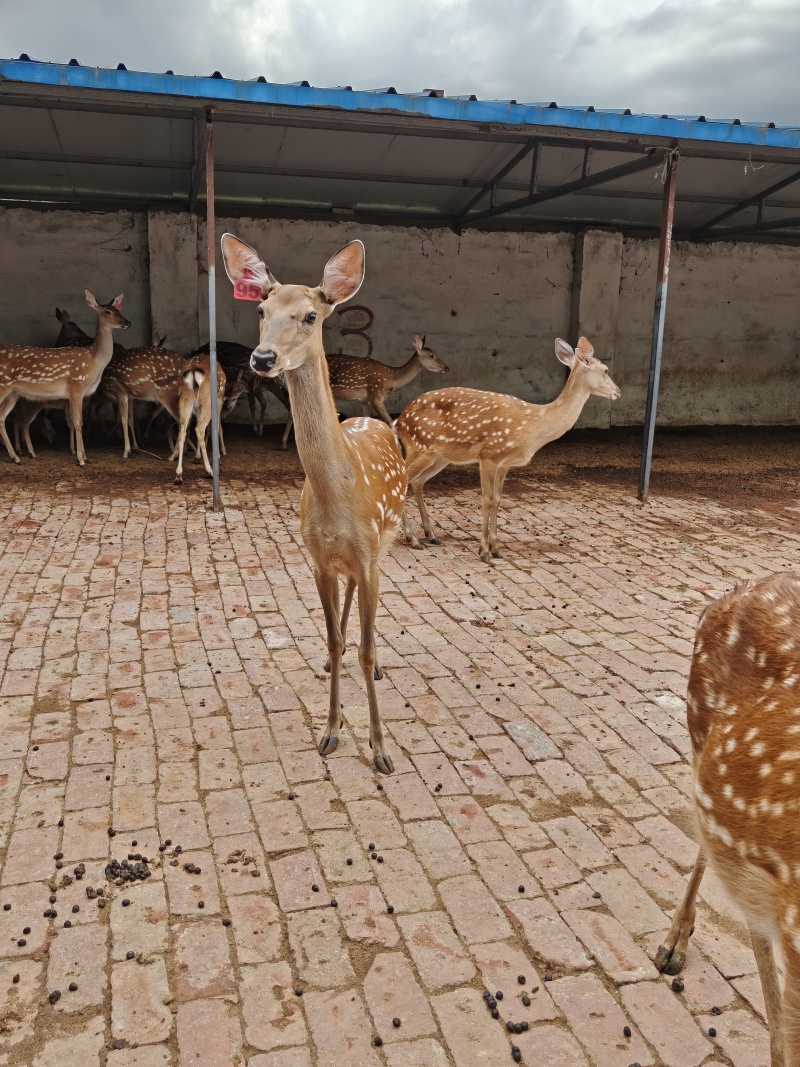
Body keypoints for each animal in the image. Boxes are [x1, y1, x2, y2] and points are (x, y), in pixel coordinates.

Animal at [0, 291, 130, 465]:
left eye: (119, 310)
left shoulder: (83, 394)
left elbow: (79, 422)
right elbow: (78, 422)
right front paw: (81, 460)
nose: (128, 323)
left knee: (2, 417)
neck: (95, 361)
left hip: (13, 392)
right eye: (108, 312)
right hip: (3, 385)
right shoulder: (76, 387)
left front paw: (86, 457)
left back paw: (16, 458)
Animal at [221, 233, 406, 775]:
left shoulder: (368, 554)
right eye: (260, 309)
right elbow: (334, 639)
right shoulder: (318, 559)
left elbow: (365, 650)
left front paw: (381, 749)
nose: (262, 359)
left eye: (309, 315)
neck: (339, 500)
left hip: (388, 540)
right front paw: (330, 729)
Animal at [281, 334, 448, 449]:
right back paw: (285, 443)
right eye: (432, 355)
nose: (446, 367)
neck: (392, 377)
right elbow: (391, 423)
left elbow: (365, 421)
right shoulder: (376, 395)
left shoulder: (366, 400)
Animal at [395, 336, 620, 563]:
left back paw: (430, 535)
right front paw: (484, 551)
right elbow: (486, 499)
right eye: (606, 370)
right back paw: (412, 538)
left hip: (440, 456)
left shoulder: (505, 463)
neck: (533, 426)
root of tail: (400, 420)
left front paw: (495, 548)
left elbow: (497, 499)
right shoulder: (489, 455)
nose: (618, 392)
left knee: (417, 482)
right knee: (403, 481)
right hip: (420, 446)